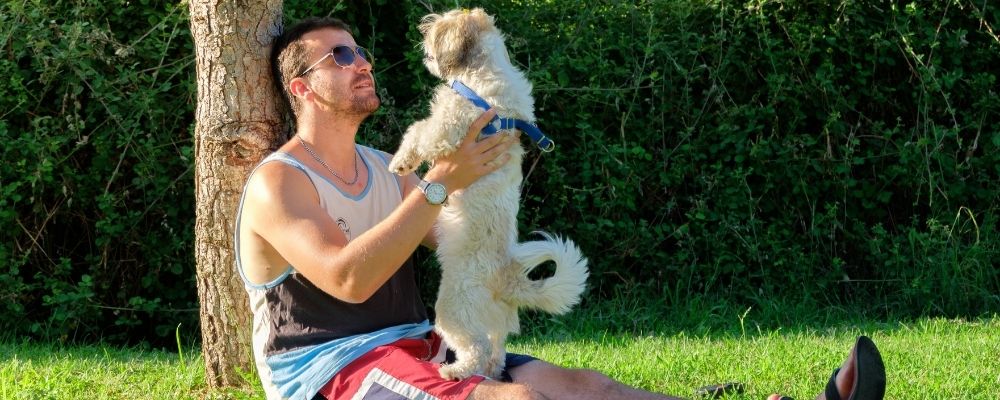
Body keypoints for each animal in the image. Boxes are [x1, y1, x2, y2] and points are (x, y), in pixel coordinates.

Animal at [388, 7, 592, 380]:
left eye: (439, 28)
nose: (423, 28)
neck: (482, 73)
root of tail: (508, 279)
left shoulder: (447, 128)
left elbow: (418, 131)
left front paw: (401, 161)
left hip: (452, 309)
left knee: (477, 349)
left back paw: (455, 372)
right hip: (494, 324)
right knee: (496, 351)